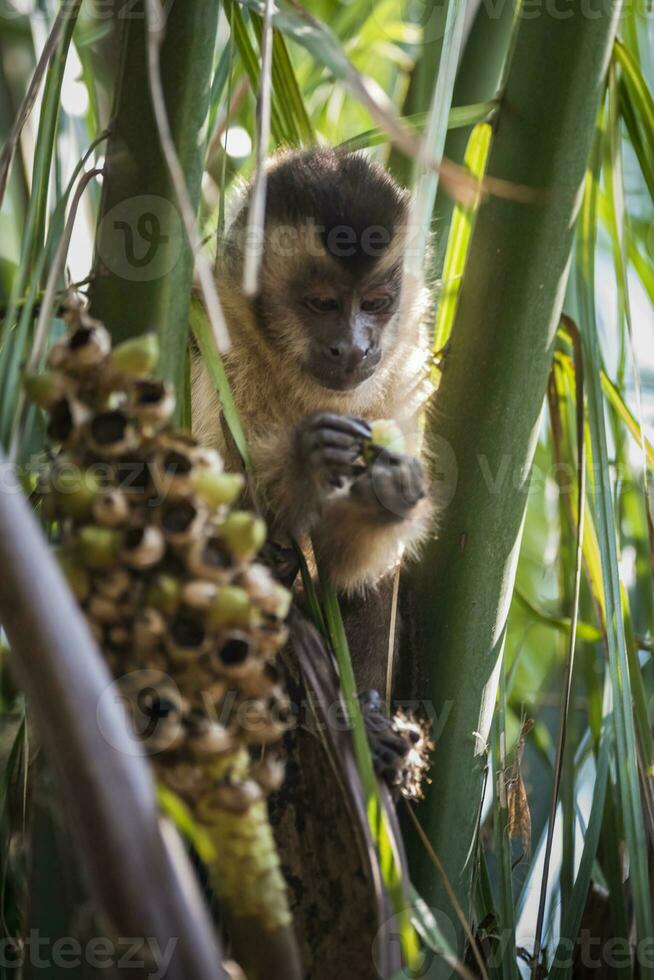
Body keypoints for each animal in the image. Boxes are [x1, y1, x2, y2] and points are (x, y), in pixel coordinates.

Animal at [193, 147, 436, 696]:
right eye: (323, 304)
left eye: (375, 303)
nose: (355, 348)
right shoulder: (211, 339)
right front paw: (307, 462)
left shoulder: (405, 359)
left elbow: (349, 568)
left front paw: (384, 491)